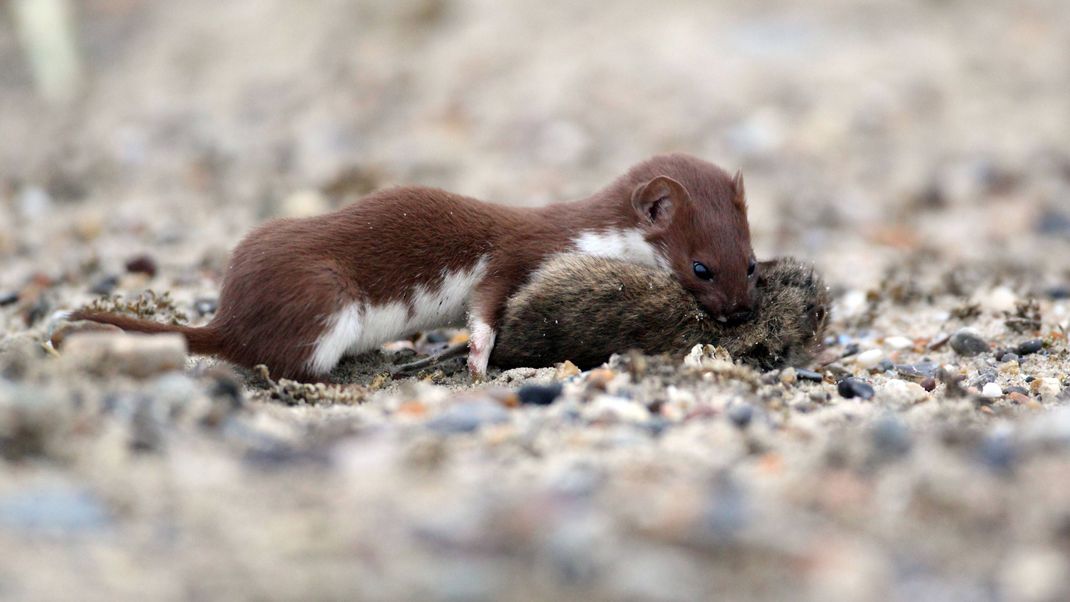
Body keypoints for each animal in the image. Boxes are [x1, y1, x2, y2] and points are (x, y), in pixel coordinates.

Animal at [71, 153, 757, 380]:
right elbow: (486, 307)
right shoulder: (518, 255)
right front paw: (477, 360)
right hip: (322, 294)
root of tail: (228, 315)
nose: (742, 313)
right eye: (700, 267)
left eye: (750, 264)